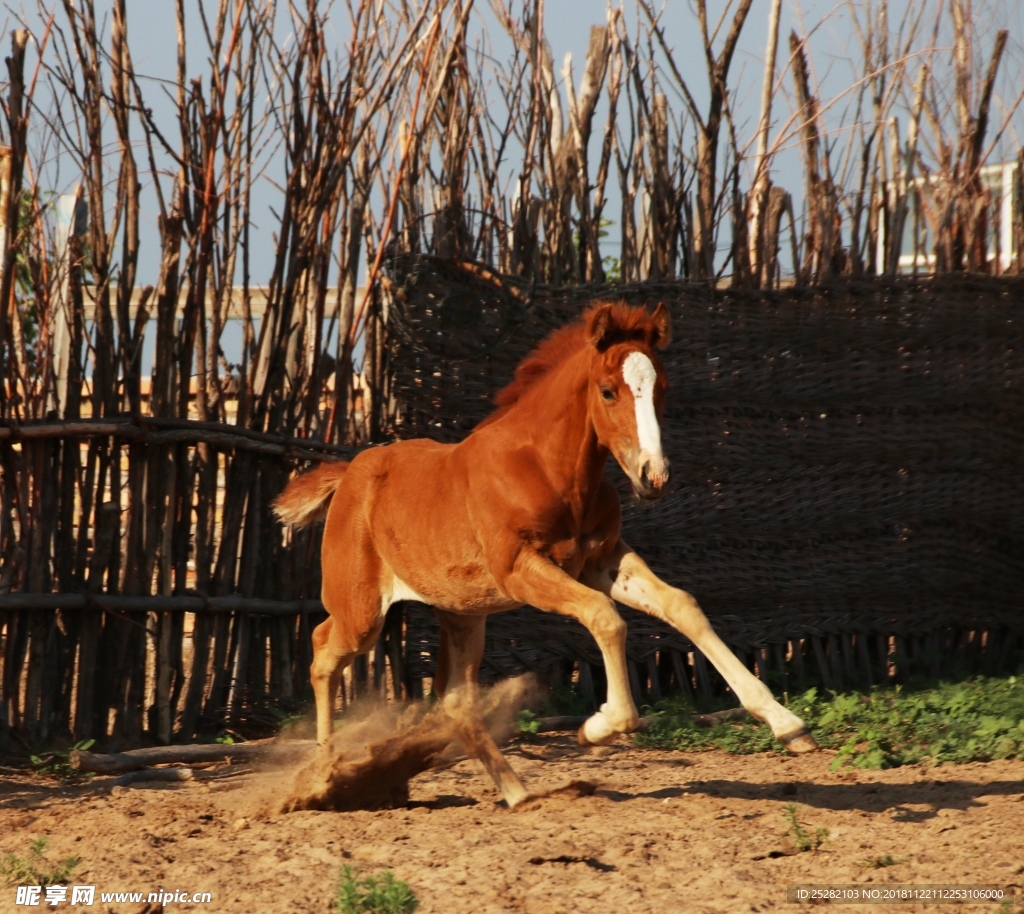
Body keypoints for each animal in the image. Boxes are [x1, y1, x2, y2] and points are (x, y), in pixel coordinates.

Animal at [272, 300, 815, 806]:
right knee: (322, 650)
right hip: (362, 612)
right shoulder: (520, 570)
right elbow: (605, 617)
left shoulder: (602, 560)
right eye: (608, 390)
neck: (549, 469)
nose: (653, 476)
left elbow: (683, 606)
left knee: (454, 701)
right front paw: (600, 726)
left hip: (463, 615)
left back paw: (517, 794)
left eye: (661, 388)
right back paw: (324, 775)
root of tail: (349, 472)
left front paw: (788, 724)